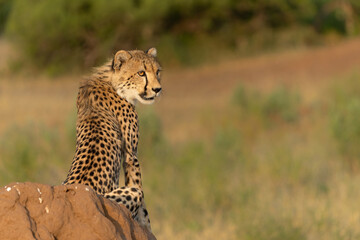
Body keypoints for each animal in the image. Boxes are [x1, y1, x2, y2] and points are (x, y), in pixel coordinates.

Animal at [63, 48, 162, 231]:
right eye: (141, 73)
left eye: (157, 71)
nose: (157, 89)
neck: (112, 82)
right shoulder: (131, 155)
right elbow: (140, 191)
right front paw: (146, 227)